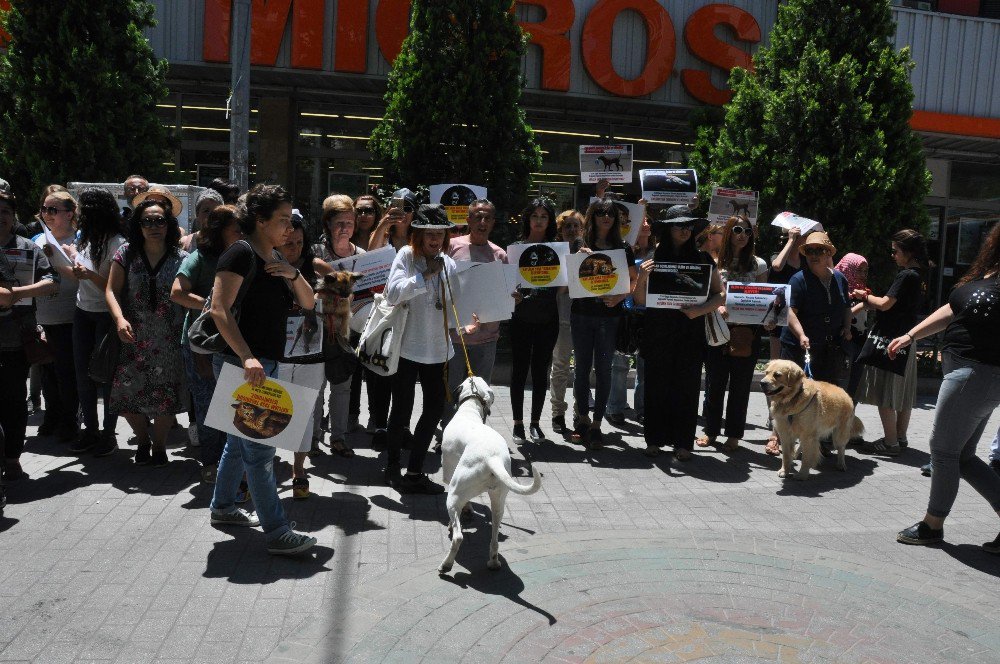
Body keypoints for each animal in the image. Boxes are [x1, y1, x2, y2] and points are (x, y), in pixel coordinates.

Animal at [440, 376, 544, 572]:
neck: (470, 409)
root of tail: (492, 458)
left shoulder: (449, 477)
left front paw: (456, 519)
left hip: (454, 493)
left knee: (458, 536)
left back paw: (446, 565)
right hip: (499, 501)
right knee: (494, 536)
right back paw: (493, 562)